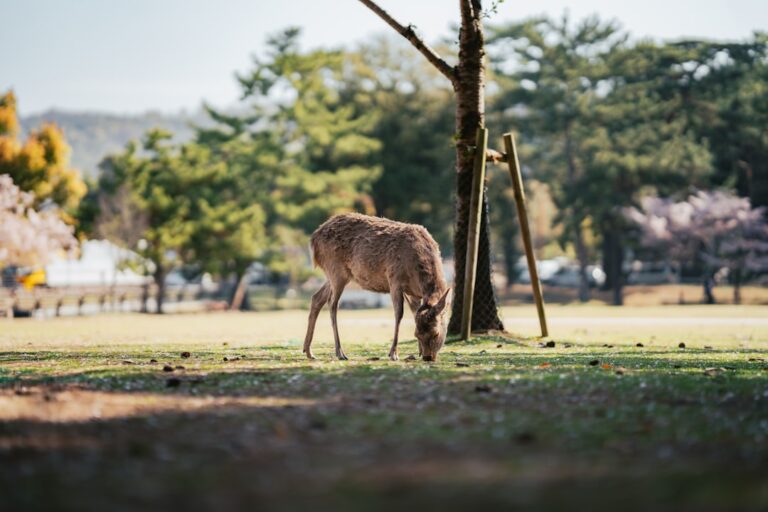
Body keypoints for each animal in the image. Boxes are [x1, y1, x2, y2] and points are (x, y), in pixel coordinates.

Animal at [303, 213, 451, 362]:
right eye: (417, 334)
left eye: (436, 334)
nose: (427, 357)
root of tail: (313, 239)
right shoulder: (394, 279)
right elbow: (399, 314)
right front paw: (393, 353)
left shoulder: (413, 292)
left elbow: (414, 311)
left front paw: (417, 352)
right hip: (336, 269)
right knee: (332, 304)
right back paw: (340, 352)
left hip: (334, 275)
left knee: (317, 298)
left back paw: (308, 351)